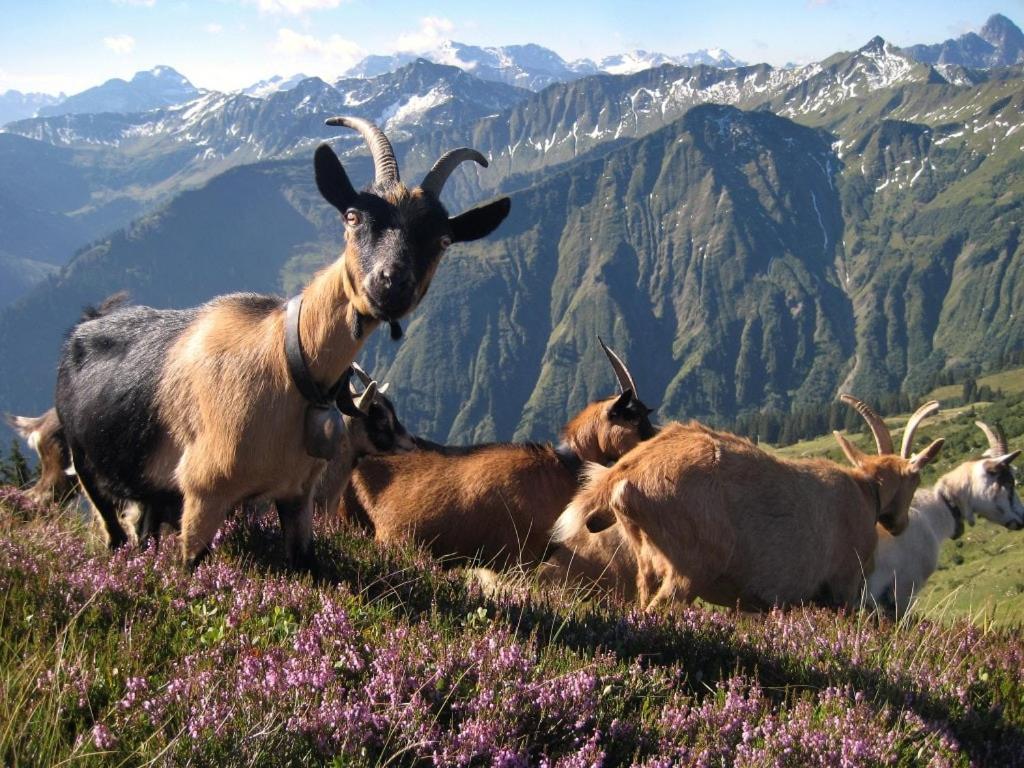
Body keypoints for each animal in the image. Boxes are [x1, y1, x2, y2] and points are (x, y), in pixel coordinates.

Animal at [54, 117, 510, 570]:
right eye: (352, 216)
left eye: (443, 240)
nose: (391, 284)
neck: (287, 363)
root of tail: (87, 322)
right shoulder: (203, 496)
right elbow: (188, 567)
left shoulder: (297, 496)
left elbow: (306, 564)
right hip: (86, 466)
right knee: (113, 531)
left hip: (148, 489)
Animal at [552, 395, 945, 611]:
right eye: (916, 478)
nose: (899, 523)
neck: (864, 492)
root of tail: (628, 471)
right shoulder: (843, 588)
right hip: (690, 568)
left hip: (647, 561)